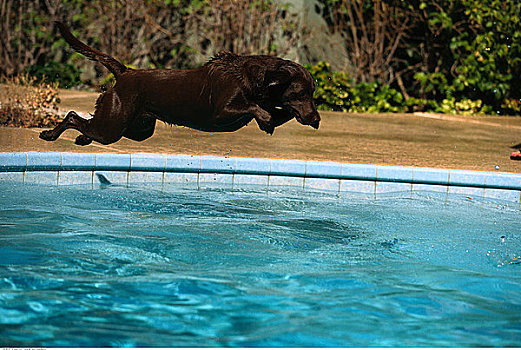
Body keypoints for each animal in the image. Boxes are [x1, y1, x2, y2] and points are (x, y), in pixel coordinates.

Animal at [40, 21, 318, 145]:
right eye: (301, 93)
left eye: (312, 93)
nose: (316, 119)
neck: (250, 78)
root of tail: (126, 72)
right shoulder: (221, 111)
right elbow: (255, 108)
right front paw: (266, 119)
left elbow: (278, 112)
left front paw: (270, 119)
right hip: (113, 124)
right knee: (73, 115)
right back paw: (50, 134)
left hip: (137, 128)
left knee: (87, 124)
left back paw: (82, 138)